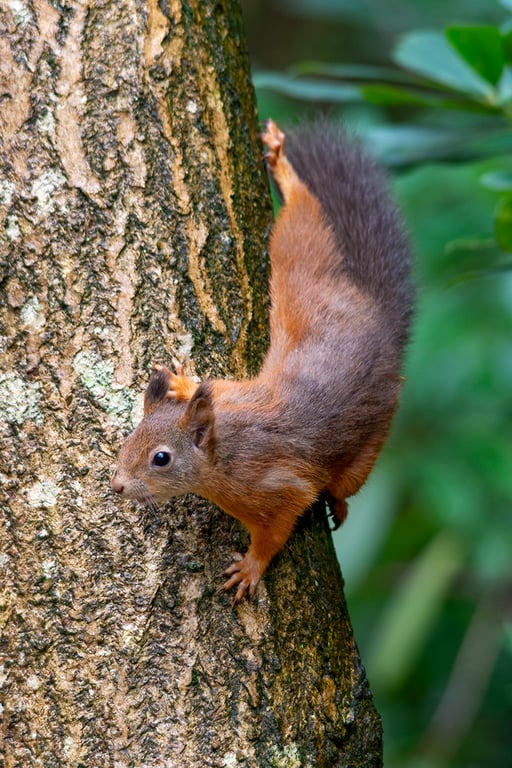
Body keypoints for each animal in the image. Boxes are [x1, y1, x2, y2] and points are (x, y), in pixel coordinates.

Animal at [111, 119, 413, 603]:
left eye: (161, 459)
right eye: (132, 434)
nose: (118, 484)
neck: (224, 450)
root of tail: (379, 323)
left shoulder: (277, 487)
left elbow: (277, 528)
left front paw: (251, 568)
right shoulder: (234, 393)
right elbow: (216, 383)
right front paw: (181, 385)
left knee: (304, 216)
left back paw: (285, 170)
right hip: (308, 288)